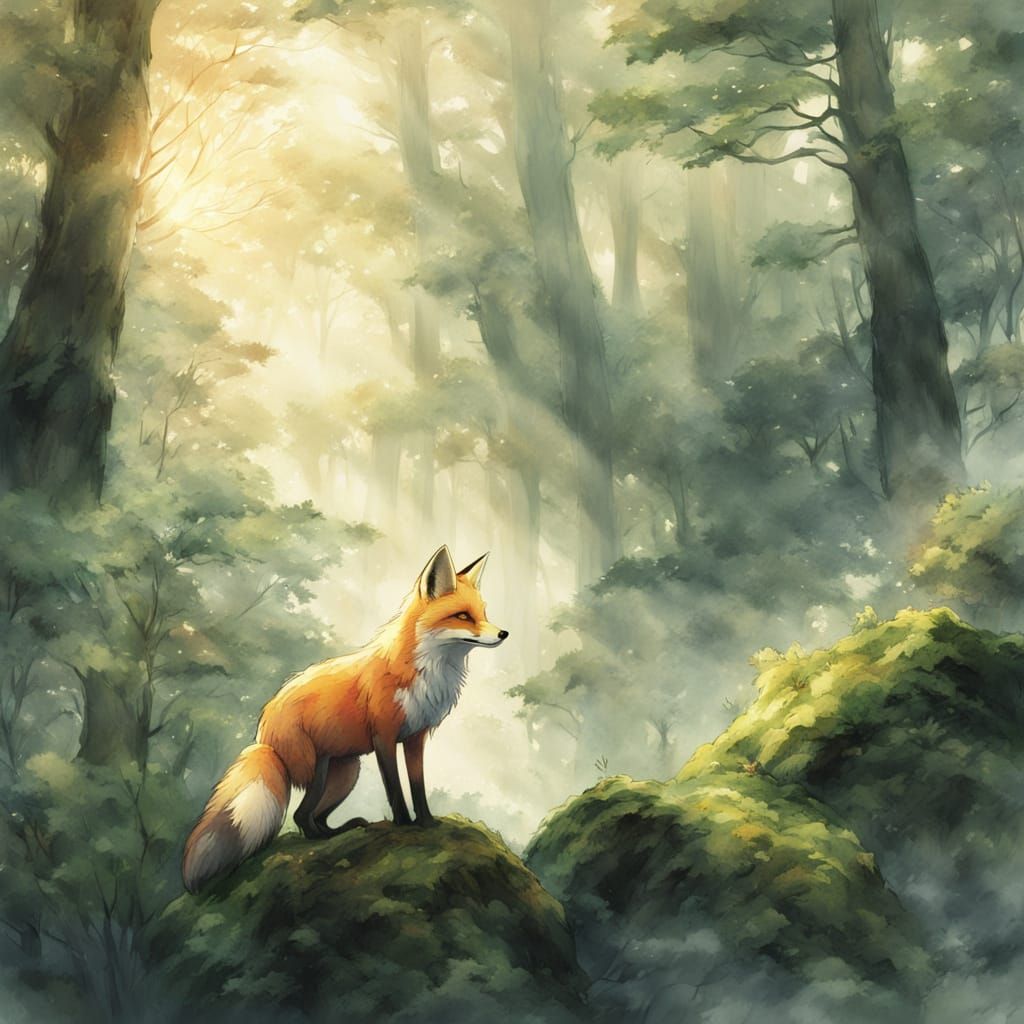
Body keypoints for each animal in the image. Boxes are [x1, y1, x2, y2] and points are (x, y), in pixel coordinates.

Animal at [181, 544, 507, 893]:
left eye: (483, 614)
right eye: (462, 616)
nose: (504, 633)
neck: (424, 671)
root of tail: (263, 736)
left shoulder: (415, 737)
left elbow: (418, 785)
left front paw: (427, 823)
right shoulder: (384, 737)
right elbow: (395, 787)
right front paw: (404, 825)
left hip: (345, 773)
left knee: (310, 816)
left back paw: (339, 831)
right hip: (316, 769)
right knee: (301, 817)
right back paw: (326, 837)